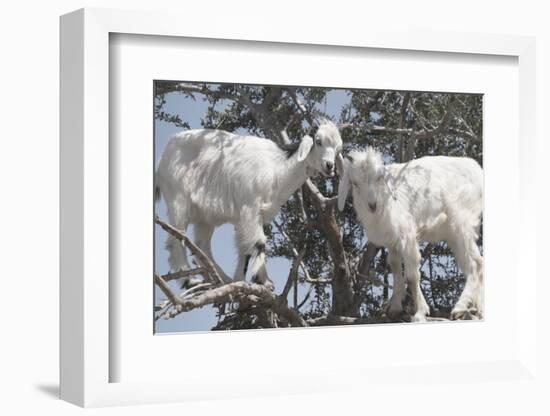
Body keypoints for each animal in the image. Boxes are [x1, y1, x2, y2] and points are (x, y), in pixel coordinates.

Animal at [156, 121, 344, 286]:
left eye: (338, 148)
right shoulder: (250, 207)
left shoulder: (253, 215)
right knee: (176, 239)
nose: (329, 166)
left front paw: (240, 279)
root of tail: (162, 157)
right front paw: (264, 281)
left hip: (205, 217)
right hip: (178, 198)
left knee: (202, 247)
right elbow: (259, 242)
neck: (277, 168)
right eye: (318, 141)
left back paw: (223, 279)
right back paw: (189, 281)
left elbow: (244, 246)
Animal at [338, 149, 486, 322]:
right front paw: (395, 307)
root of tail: (477, 170)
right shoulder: (392, 241)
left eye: (379, 177)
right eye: (354, 183)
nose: (372, 205)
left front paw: (420, 312)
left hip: (462, 223)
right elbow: (395, 267)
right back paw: (477, 309)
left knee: (474, 264)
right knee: (477, 263)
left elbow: (412, 276)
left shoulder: (407, 235)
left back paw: (460, 307)